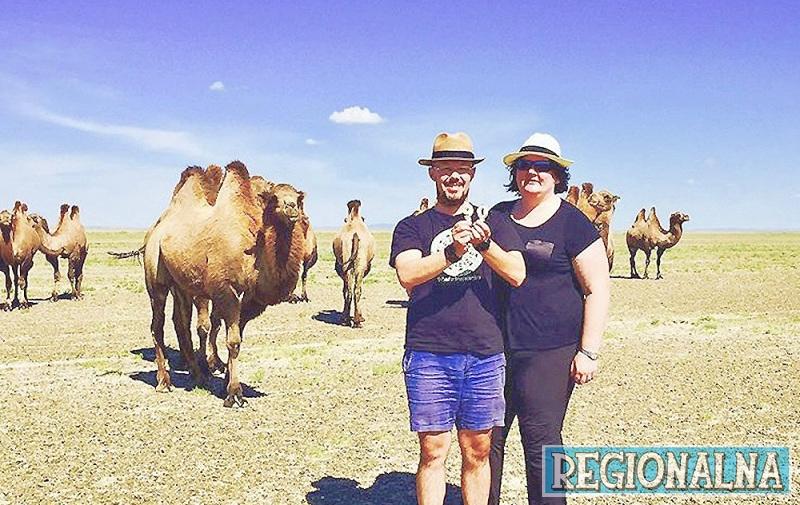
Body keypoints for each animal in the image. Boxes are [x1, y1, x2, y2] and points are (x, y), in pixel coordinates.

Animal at [144, 162, 306, 407]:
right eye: (274, 198)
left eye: (298, 198)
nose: (291, 208)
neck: (252, 252)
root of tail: (156, 229)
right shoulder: (224, 289)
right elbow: (233, 341)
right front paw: (234, 393)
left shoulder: (253, 299)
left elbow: (238, 337)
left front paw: (225, 383)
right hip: (156, 277)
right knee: (158, 325)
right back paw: (164, 382)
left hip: (182, 284)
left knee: (182, 324)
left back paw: (199, 376)